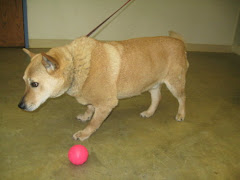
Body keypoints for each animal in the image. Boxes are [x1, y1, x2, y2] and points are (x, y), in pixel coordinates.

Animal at [18, 31, 189, 141]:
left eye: (34, 84)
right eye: (24, 81)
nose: (20, 106)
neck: (76, 65)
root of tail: (180, 42)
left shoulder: (107, 104)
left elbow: (94, 122)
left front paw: (85, 133)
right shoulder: (91, 98)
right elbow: (89, 107)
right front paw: (86, 115)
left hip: (175, 83)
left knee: (182, 98)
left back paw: (181, 114)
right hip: (152, 84)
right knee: (157, 98)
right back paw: (149, 112)